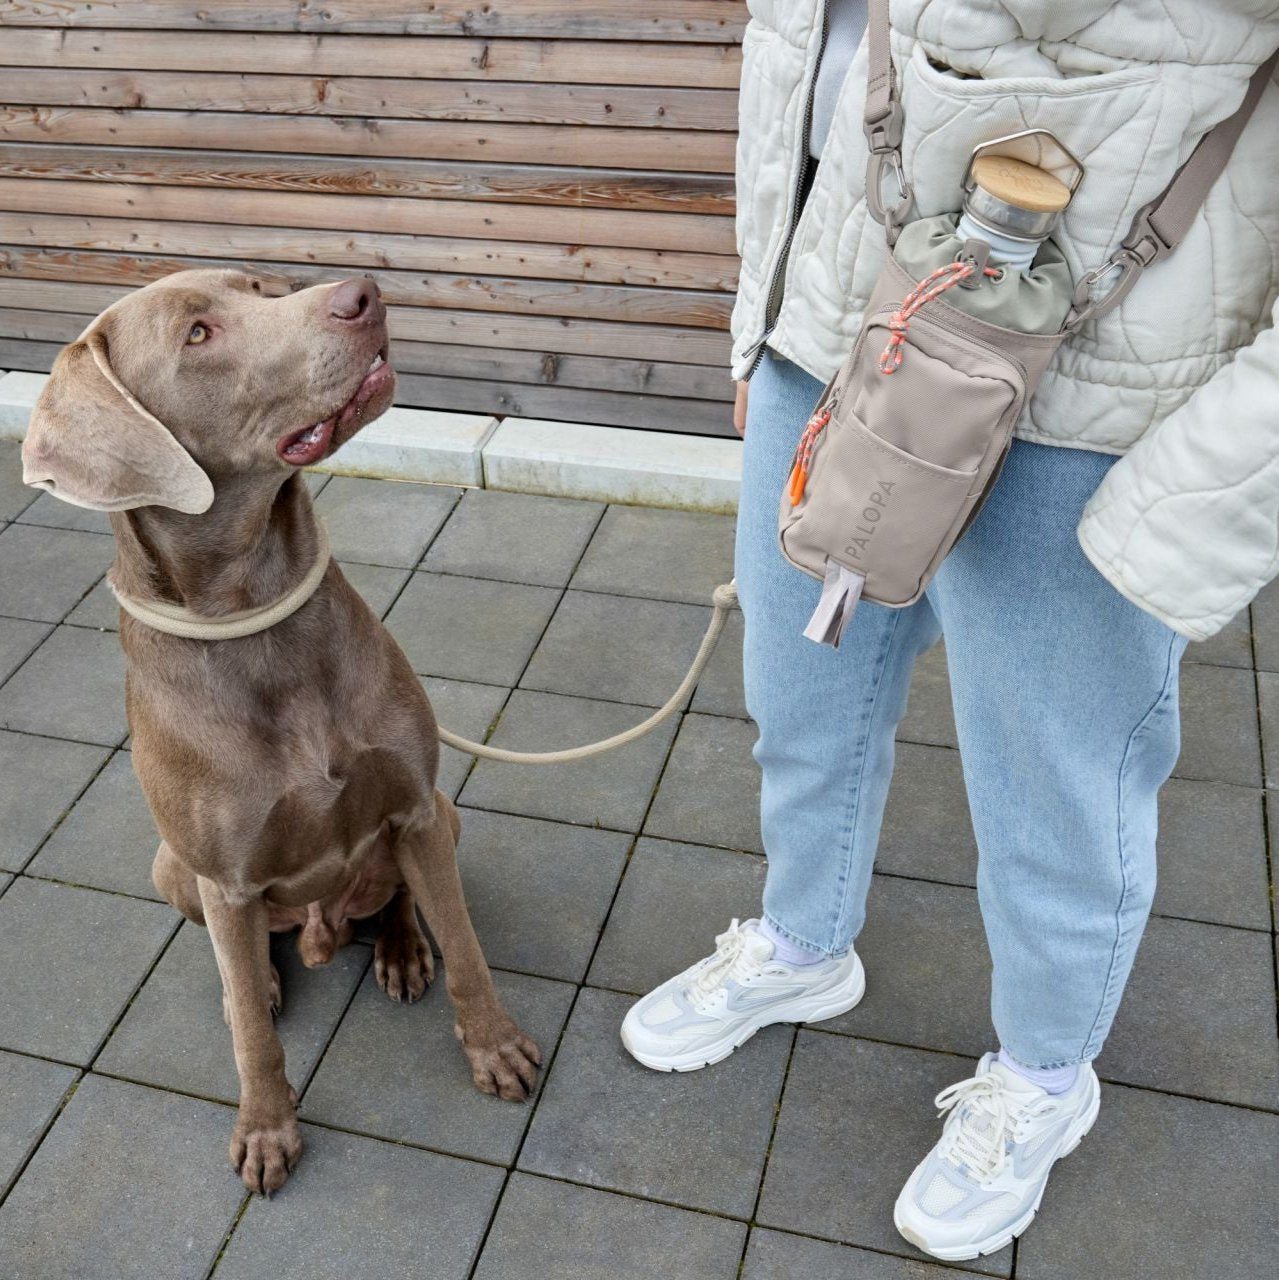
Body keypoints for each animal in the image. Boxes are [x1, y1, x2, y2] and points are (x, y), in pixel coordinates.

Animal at [21, 267, 540, 1187]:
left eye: (264, 285)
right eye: (197, 334)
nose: (363, 294)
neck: (257, 619)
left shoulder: (416, 807)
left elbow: (467, 949)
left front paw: (495, 1048)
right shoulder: (223, 877)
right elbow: (256, 1043)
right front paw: (266, 1129)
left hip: (445, 819)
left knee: (400, 900)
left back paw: (400, 949)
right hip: (172, 868)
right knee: (245, 961)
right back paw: (257, 983)